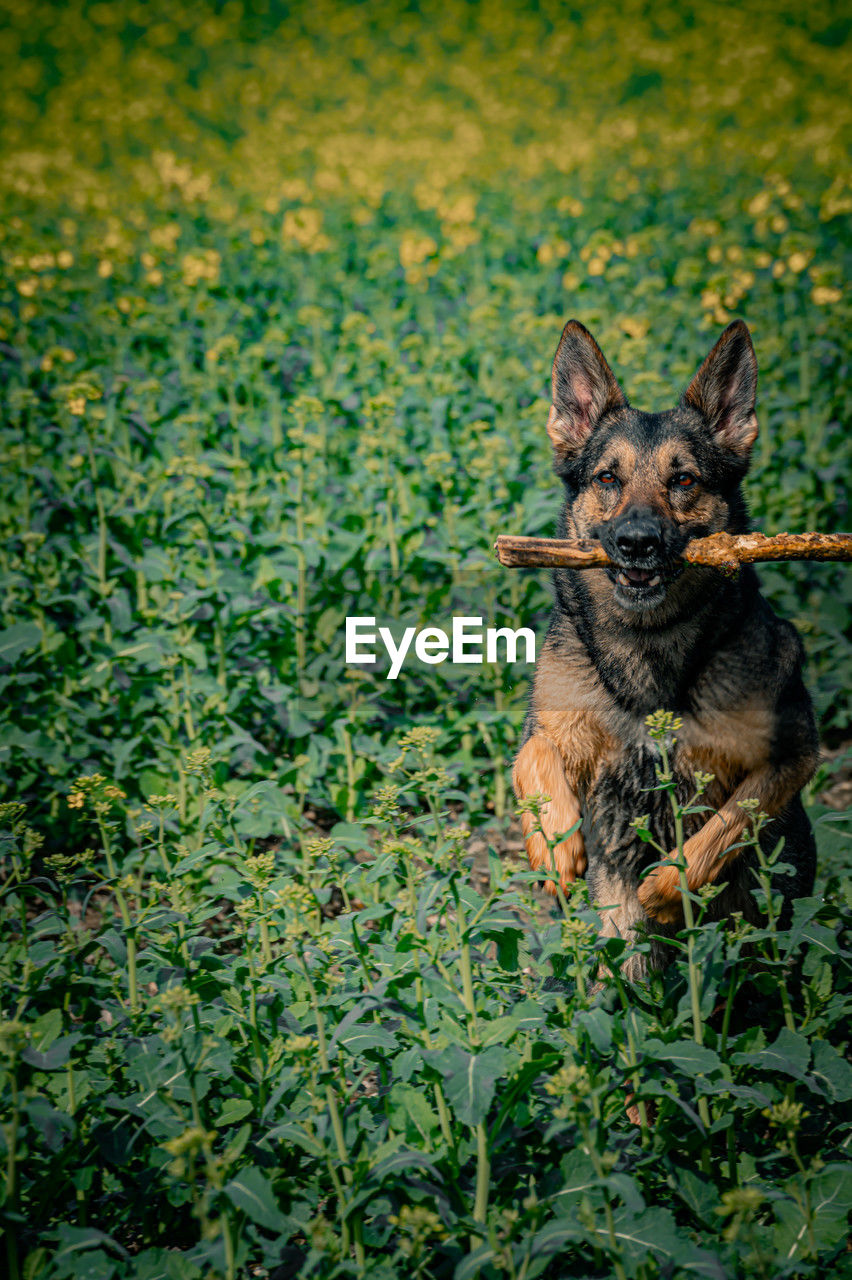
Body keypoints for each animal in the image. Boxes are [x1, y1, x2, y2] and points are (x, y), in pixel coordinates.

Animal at [511, 320, 818, 977]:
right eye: (607, 478)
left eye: (684, 481)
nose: (636, 542)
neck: (647, 646)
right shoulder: (547, 725)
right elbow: (535, 758)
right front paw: (554, 844)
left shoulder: (791, 756)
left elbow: (726, 824)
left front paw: (667, 888)